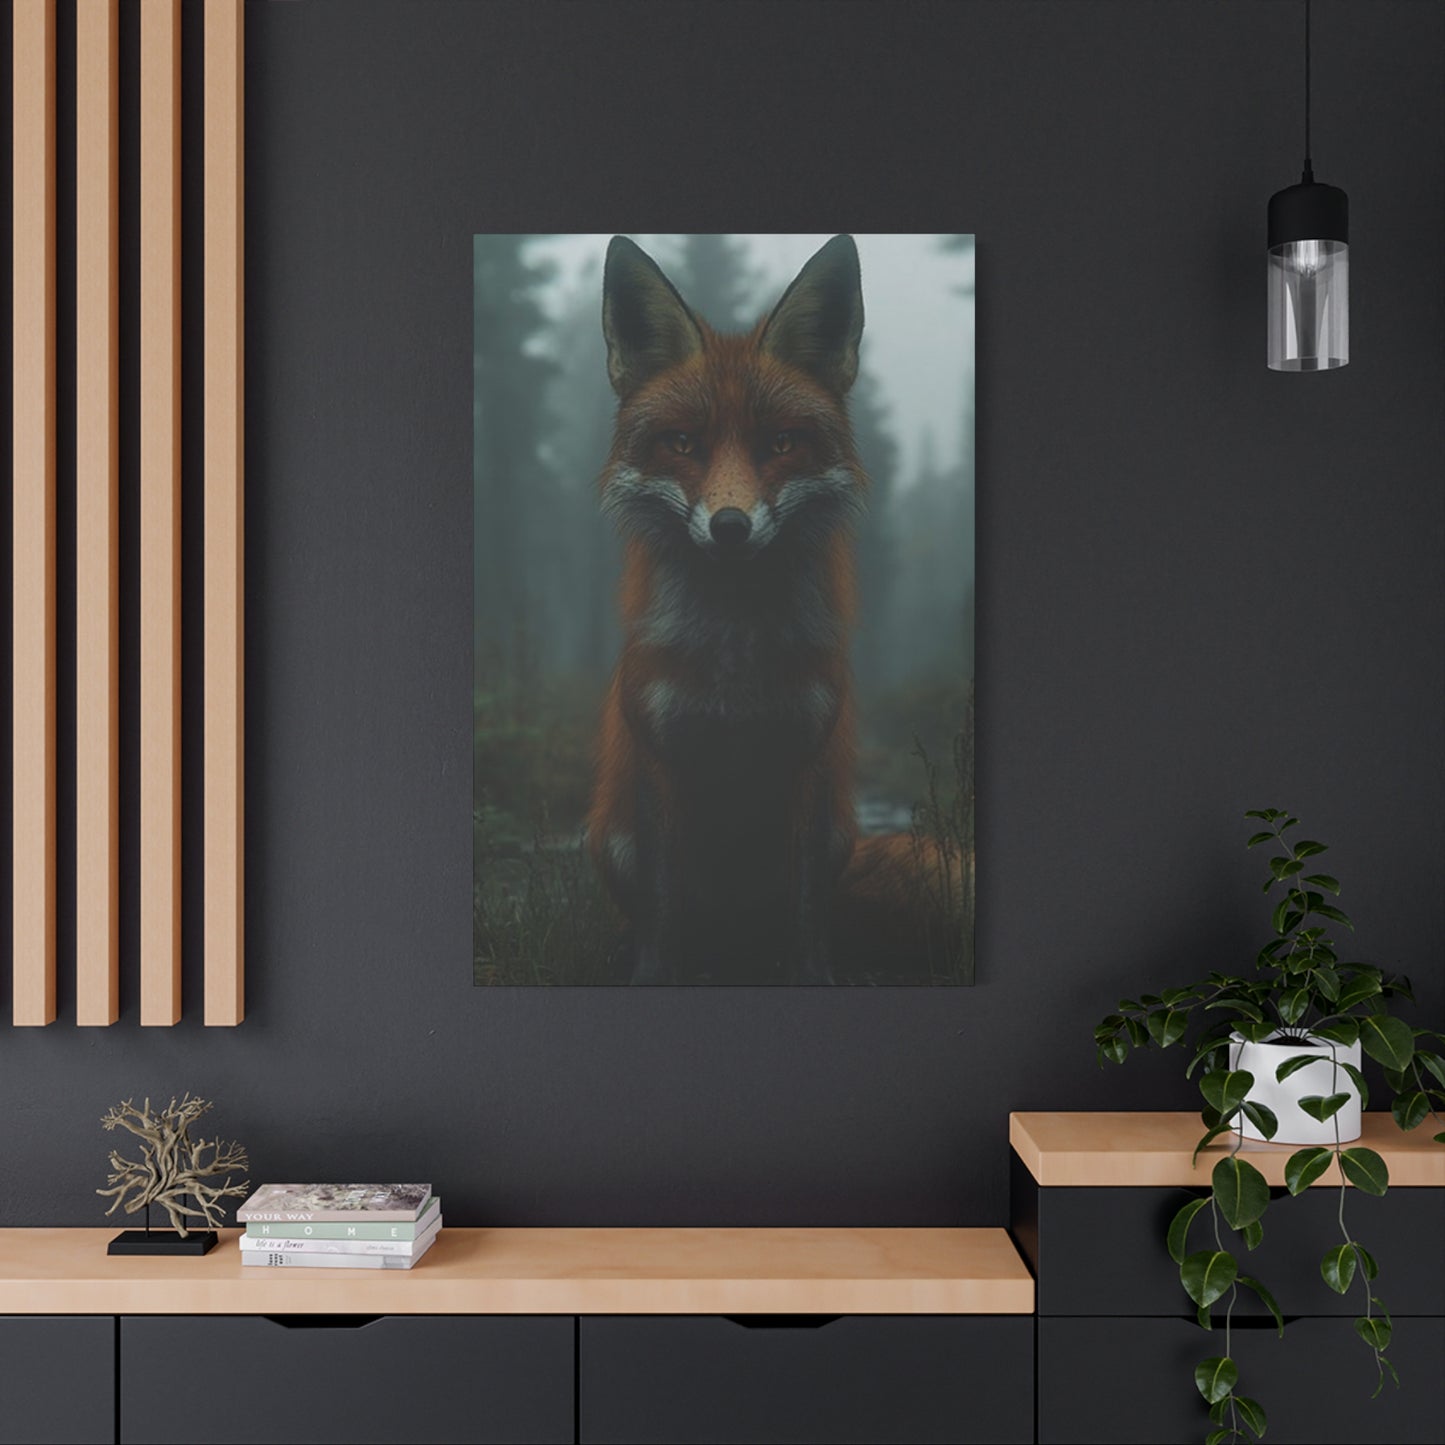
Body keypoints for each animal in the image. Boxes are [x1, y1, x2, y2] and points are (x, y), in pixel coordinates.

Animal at [586, 234, 867, 984]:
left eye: (780, 444)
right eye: (684, 444)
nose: (731, 527)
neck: (735, 664)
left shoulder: (806, 760)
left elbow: (806, 915)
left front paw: (815, 978)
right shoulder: (659, 758)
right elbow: (661, 913)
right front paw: (651, 978)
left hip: (839, 834)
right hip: (613, 840)